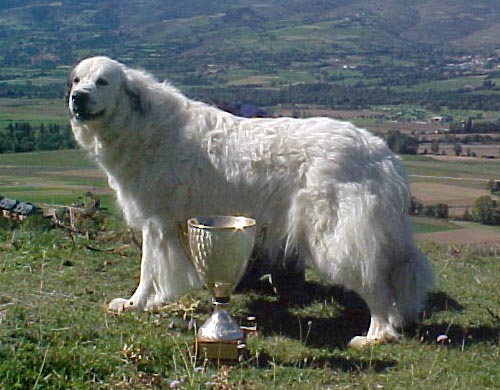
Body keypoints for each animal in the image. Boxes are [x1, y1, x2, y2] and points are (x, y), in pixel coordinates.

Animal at [67, 55, 434, 348]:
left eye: (103, 81)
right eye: (76, 79)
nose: (77, 98)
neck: (140, 123)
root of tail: (382, 152)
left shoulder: (156, 223)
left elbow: (148, 270)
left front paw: (136, 303)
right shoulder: (172, 227)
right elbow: (161, 271)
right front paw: (153, 301)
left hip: (339, 236)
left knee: (378, 287)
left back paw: (375, 335)